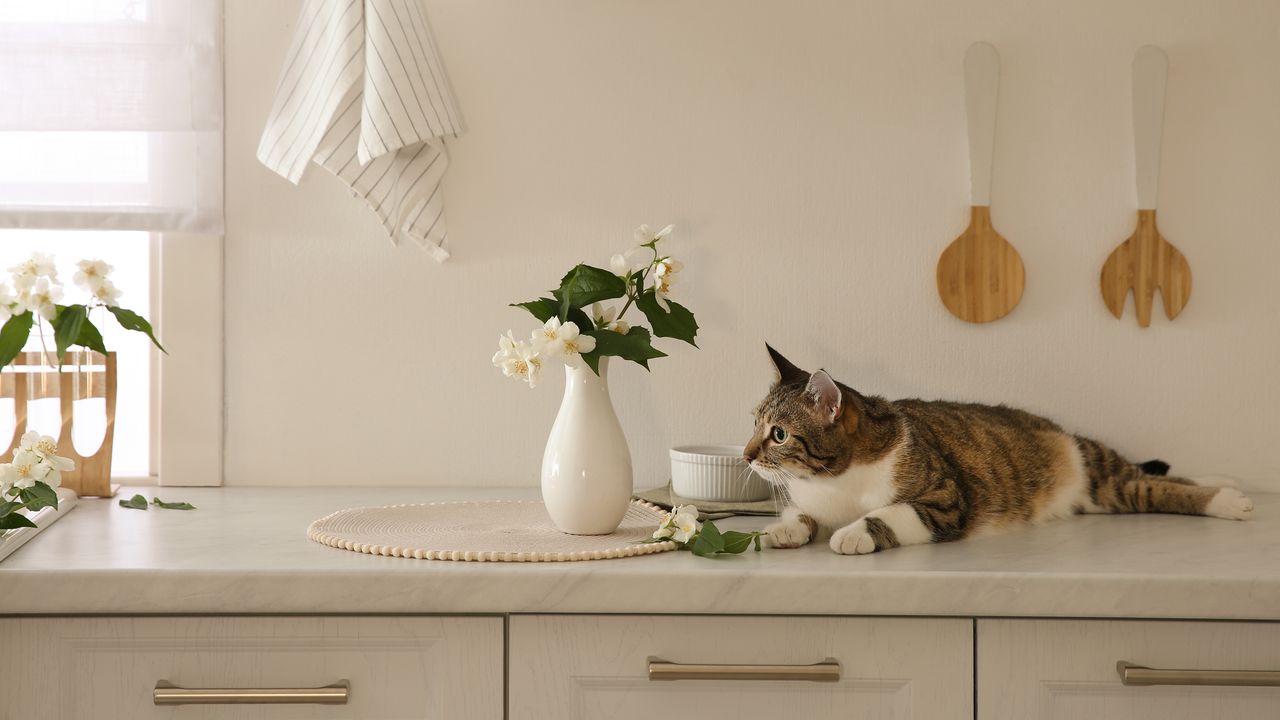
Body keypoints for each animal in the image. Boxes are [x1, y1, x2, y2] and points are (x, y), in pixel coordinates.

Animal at [747, 345, 1254, 550]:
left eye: (779, 434)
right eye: (753, 422)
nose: (747, 455)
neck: (835, 481)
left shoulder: (947, 501)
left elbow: (890, 513)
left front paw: (854, 532)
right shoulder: (813, 499)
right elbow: (801, 514)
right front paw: (785, 529)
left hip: (1100, 472)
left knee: (1152, 484)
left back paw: (1228, 498)